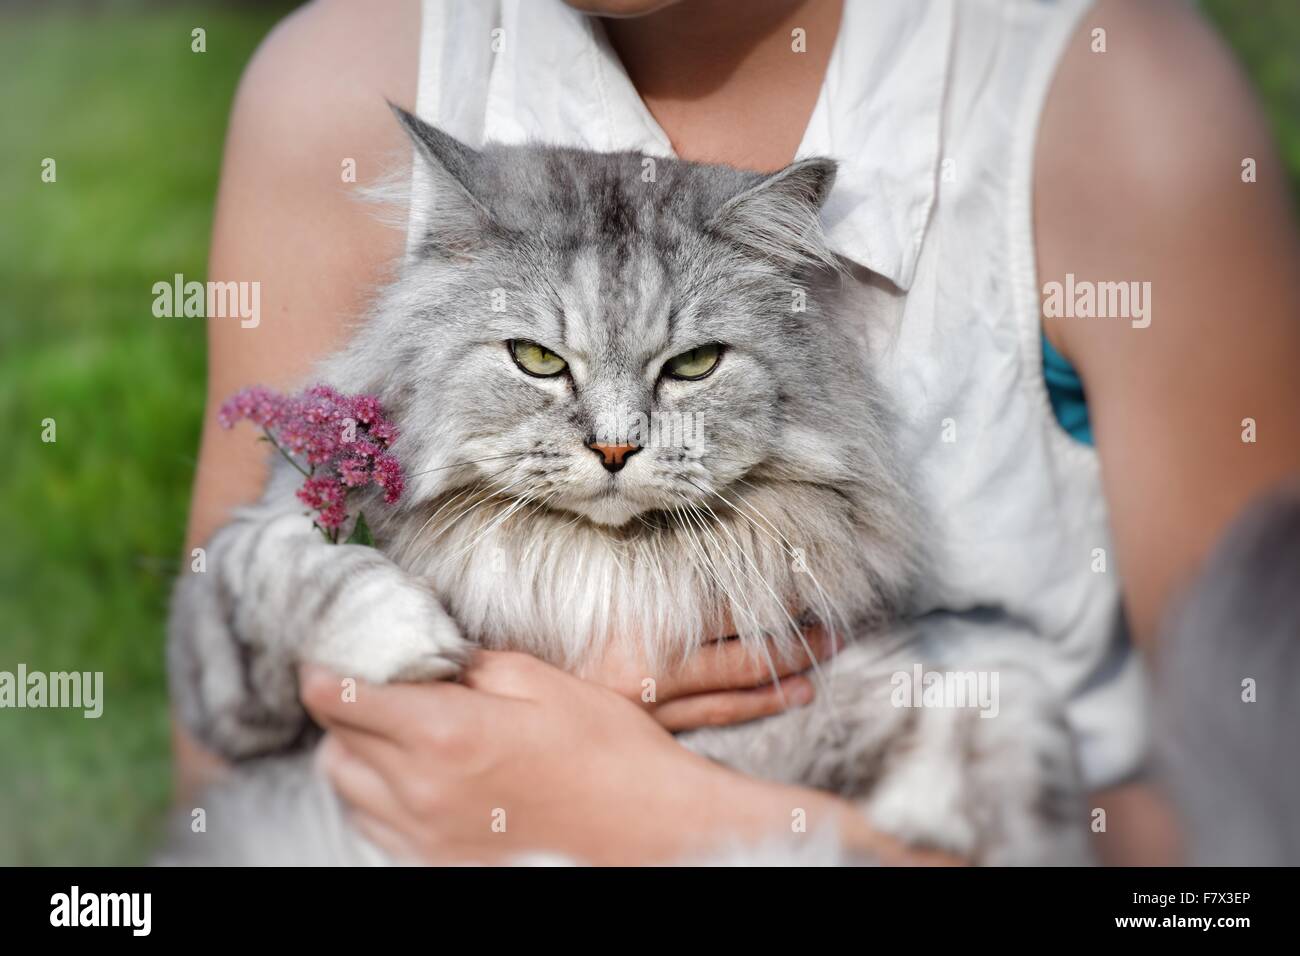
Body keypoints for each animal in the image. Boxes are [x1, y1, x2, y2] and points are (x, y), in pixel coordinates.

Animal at [167, 106, 1092, 868]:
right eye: (537, 359)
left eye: (694, 365)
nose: (615, 447)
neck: (607, 576)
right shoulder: (224, 654)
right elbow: (290, 564)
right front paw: (405, 638)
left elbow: (1003, 707)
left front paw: (936, 814)